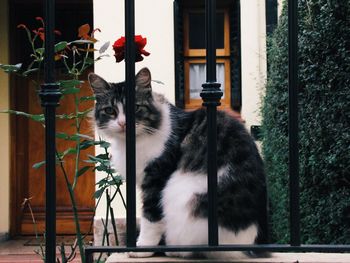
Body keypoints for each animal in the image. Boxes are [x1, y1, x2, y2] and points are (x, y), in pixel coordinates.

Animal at [87, 68, 268, 260]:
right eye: (110, 111)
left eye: (136, 108)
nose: (123, 123)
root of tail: (249, 246)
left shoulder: (156, 179)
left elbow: (150, 218)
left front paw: (142, 248)